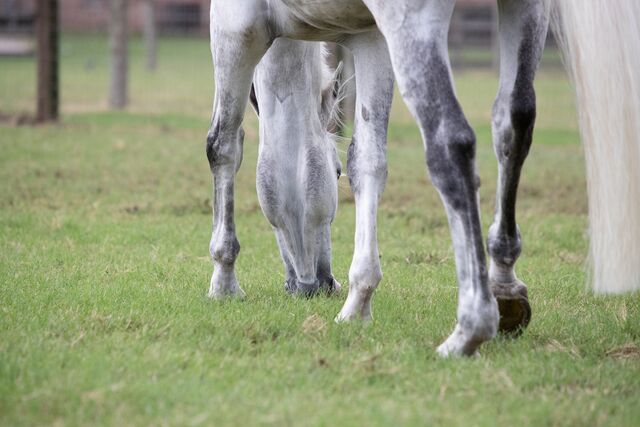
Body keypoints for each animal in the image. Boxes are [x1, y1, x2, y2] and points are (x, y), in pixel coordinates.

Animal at [205, 0, 640, 357]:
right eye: (336, 172)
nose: (316, 286)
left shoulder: (233, 26)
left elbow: (223, 145)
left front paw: (224, 281)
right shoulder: (369, 37)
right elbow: (368, 159)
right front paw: (358, 301)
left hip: (414, 26)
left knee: (452, 142)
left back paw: (470, 329)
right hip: (525, 14)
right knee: (514, 123)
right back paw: (504, 287)